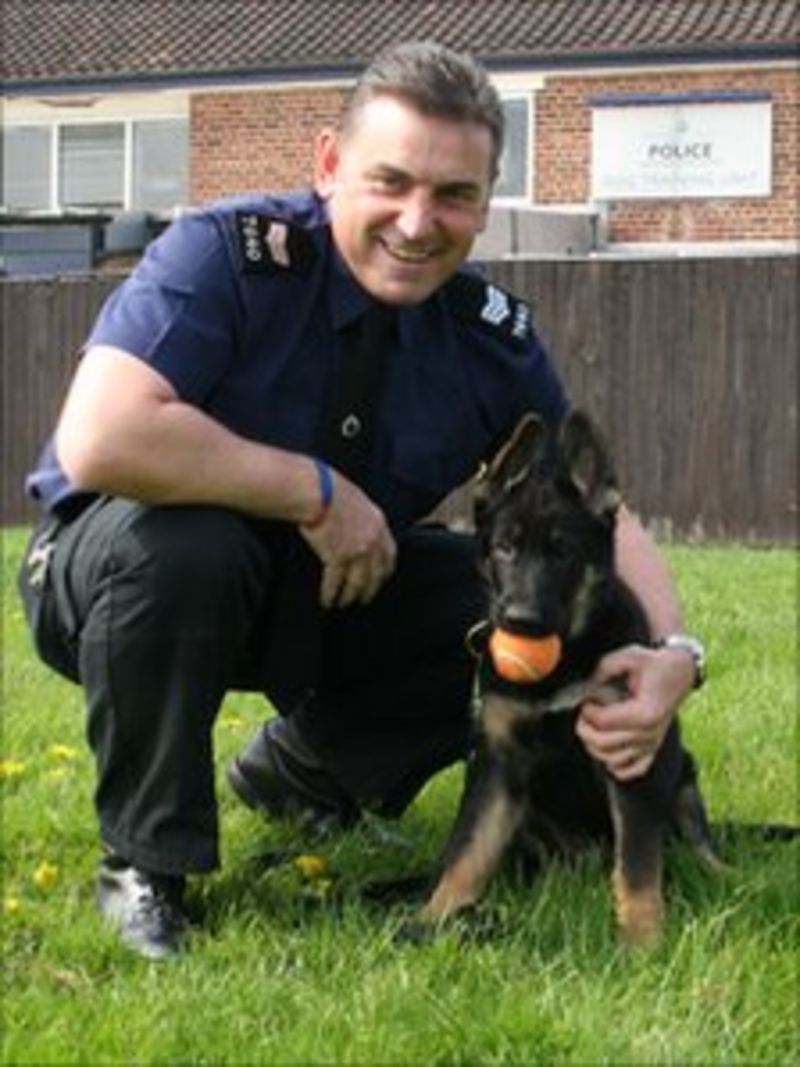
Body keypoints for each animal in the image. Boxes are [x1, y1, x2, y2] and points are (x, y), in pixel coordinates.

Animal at [420, 409, 721, 951]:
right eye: (505, 547)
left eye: (563, 553)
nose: (521, 621)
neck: (567, 661)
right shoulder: (498, 765)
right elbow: (466, 851)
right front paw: (432, 920)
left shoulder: (628, 752)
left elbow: (637, 863)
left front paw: (642, 944)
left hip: (679, 767)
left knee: (694, 838)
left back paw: (721, 873)